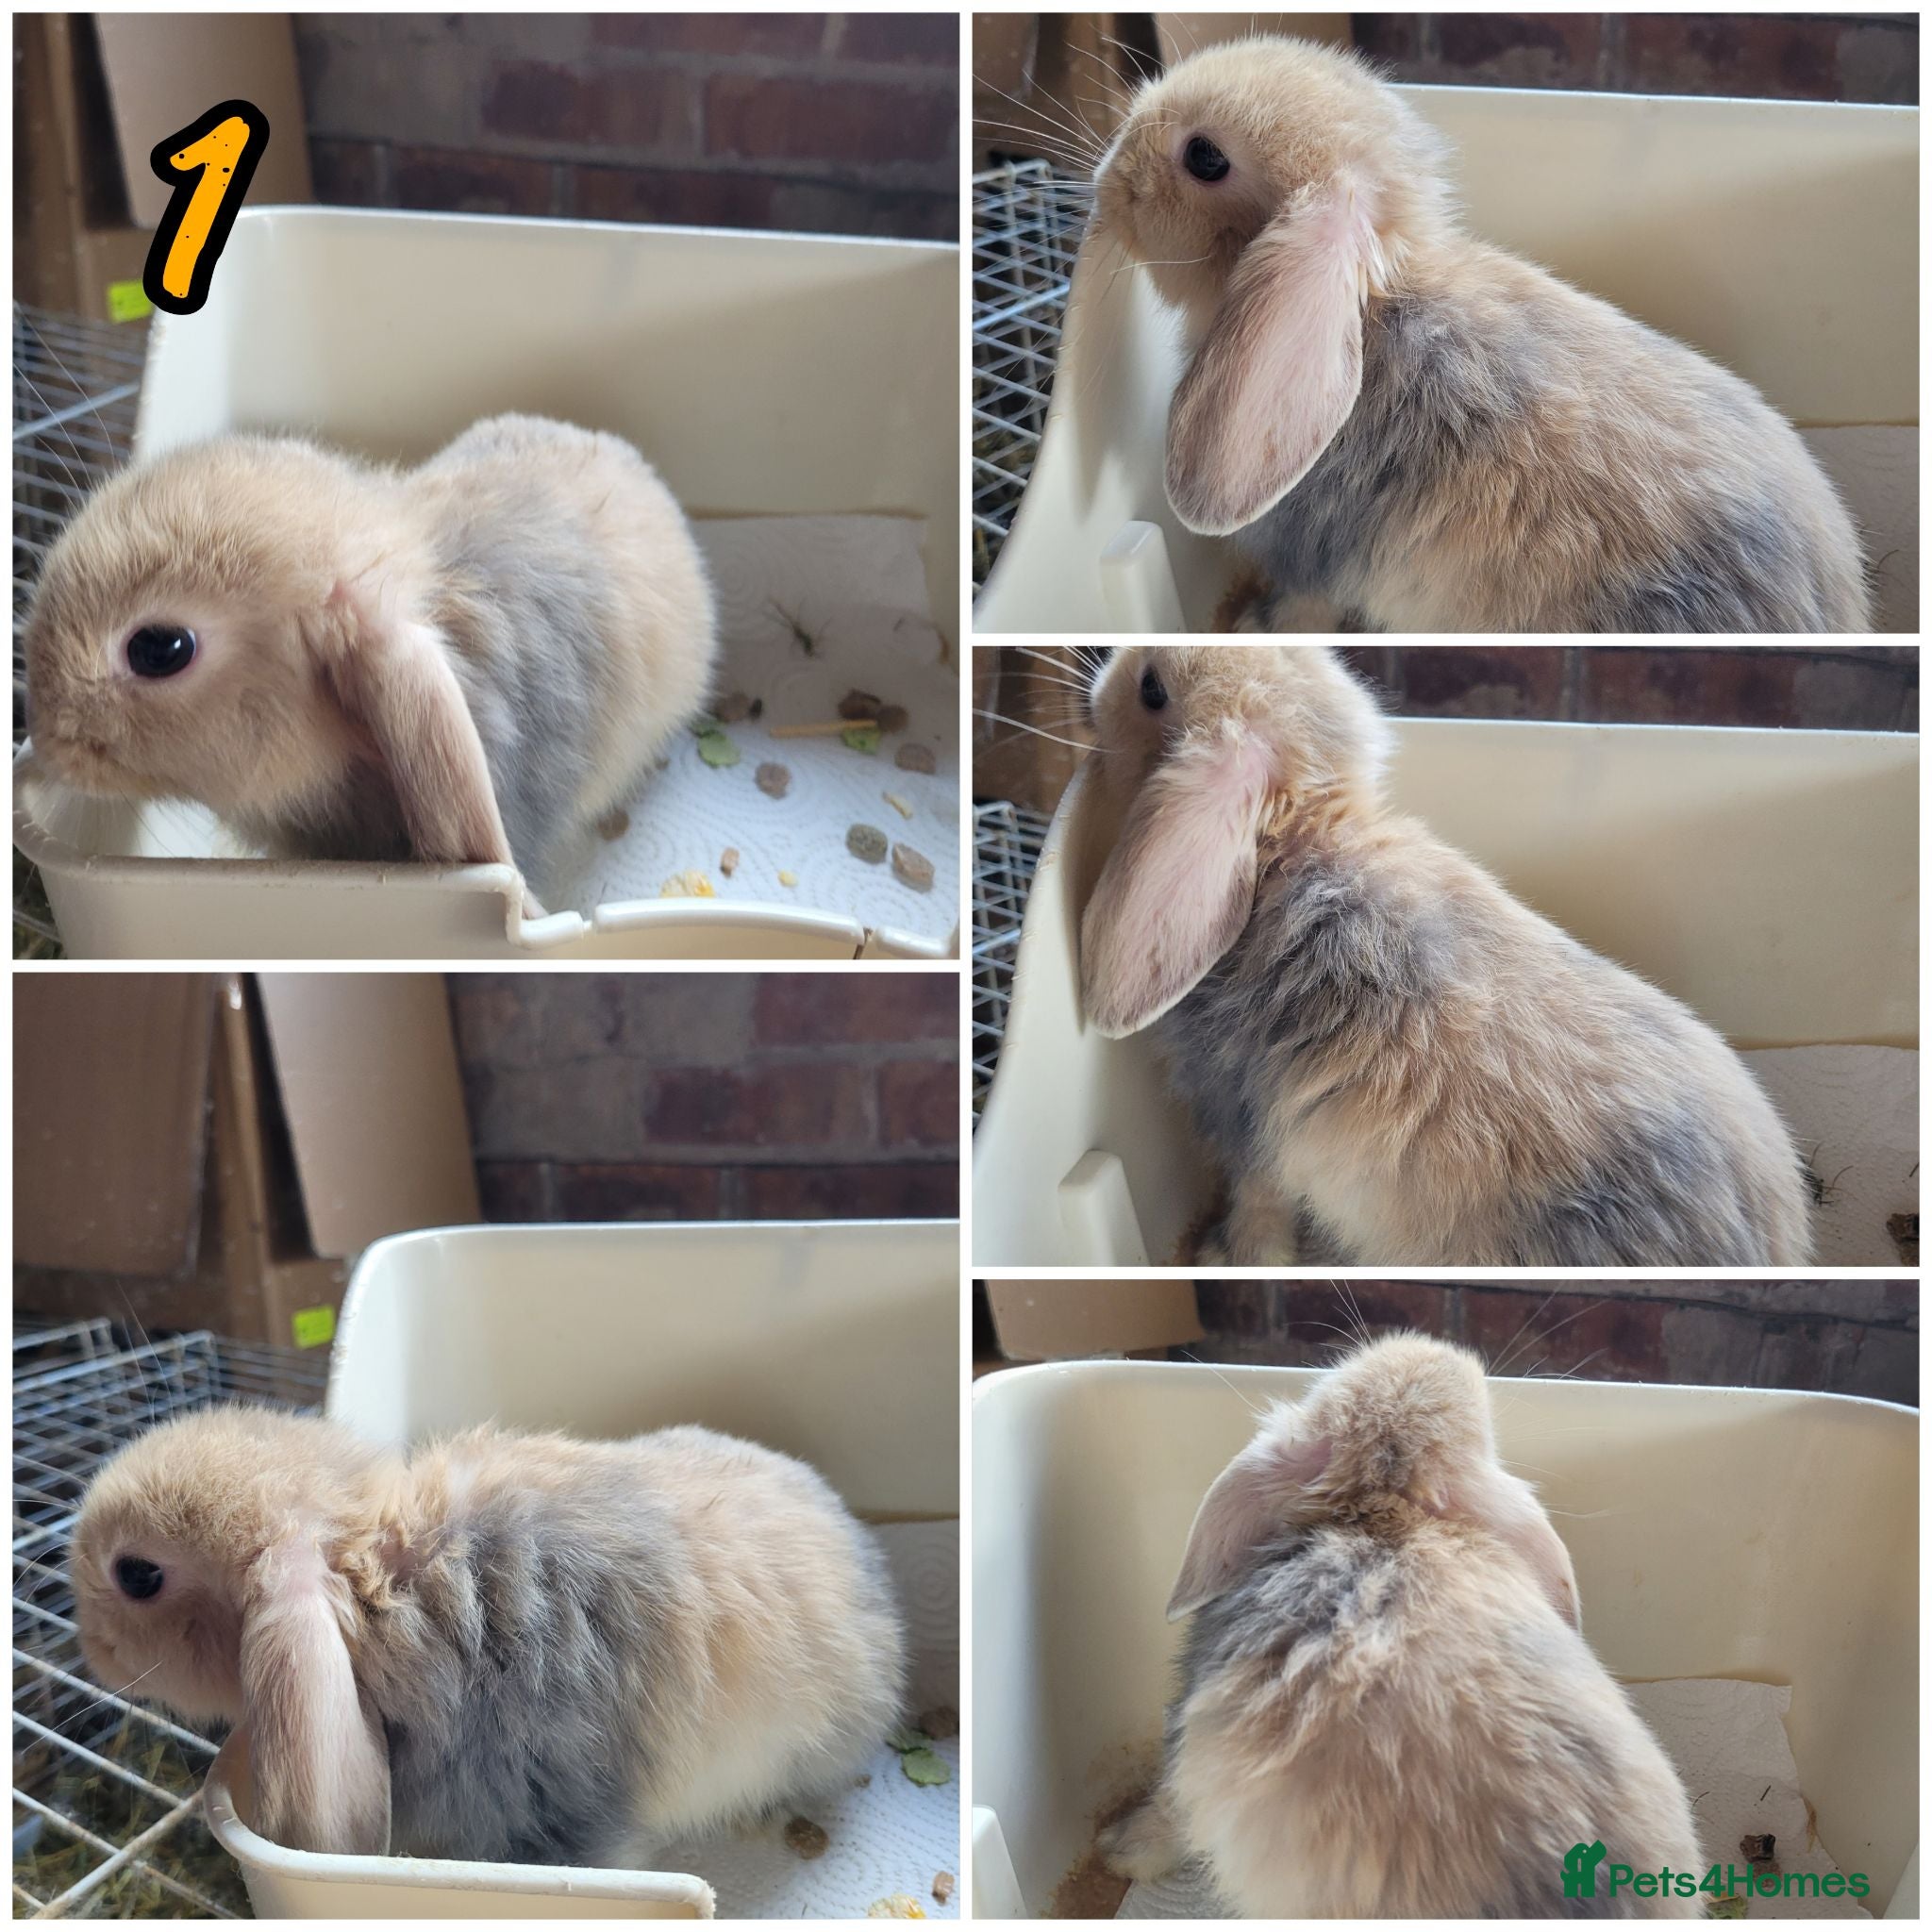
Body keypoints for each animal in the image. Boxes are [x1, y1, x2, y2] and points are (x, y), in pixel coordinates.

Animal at [1078, 645, 1813, 1266]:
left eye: (1152, 690)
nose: (1099, 678)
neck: (1290, 843)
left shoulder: (1243, 1129)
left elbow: (1260, 1216)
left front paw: (1224, 1257)